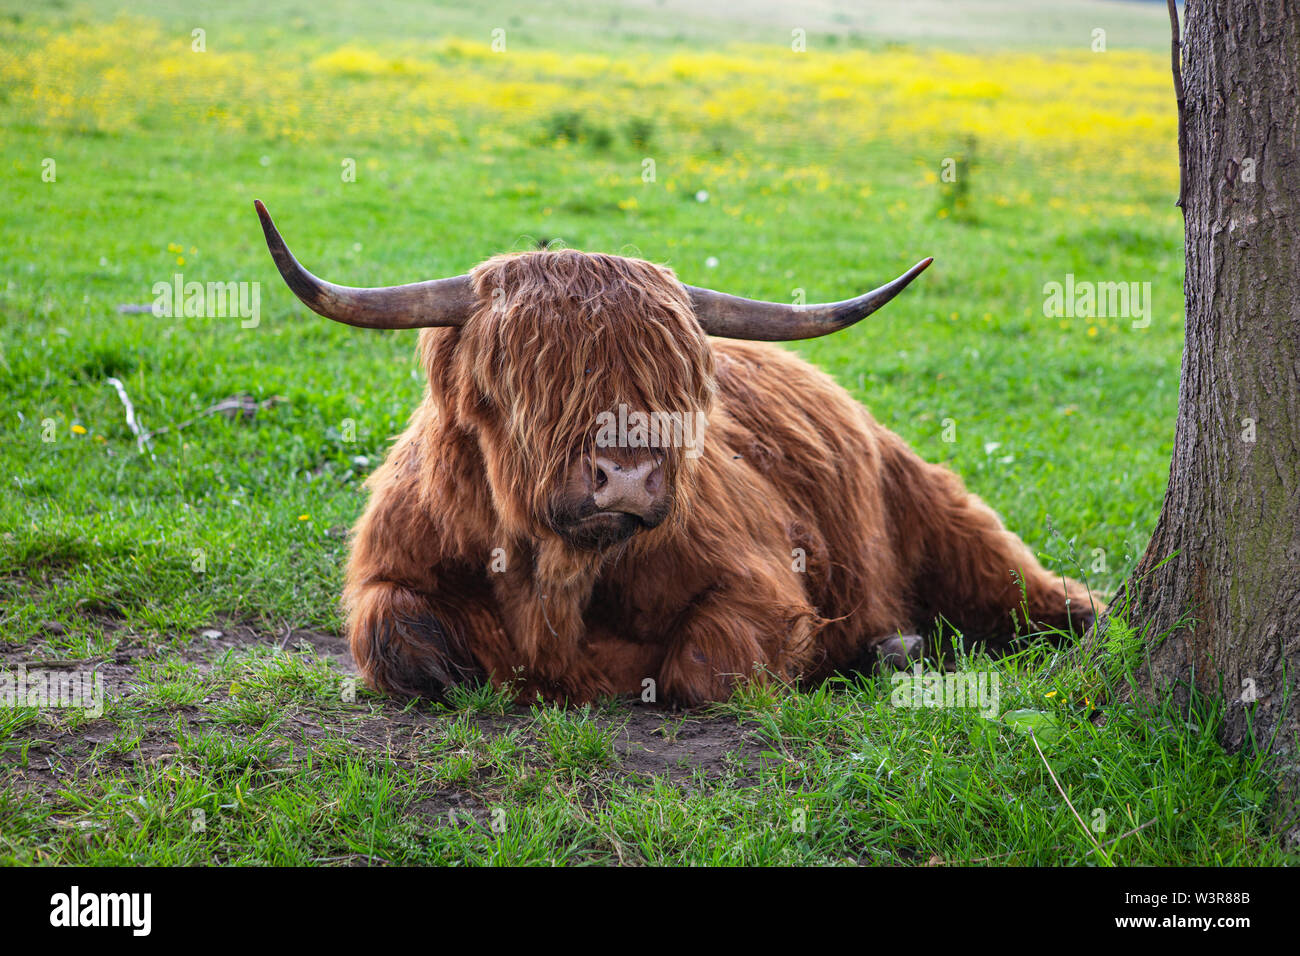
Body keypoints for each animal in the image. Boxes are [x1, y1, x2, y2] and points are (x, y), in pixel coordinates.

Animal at [256, 201, 1097, 707]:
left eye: (675, 380)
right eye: (522, 377)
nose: (626, 474)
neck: (556, 584)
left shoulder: (761, 584)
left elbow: (700, 670)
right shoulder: (386, 574)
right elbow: (402, 642)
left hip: (954, 524)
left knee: (1043, 599)